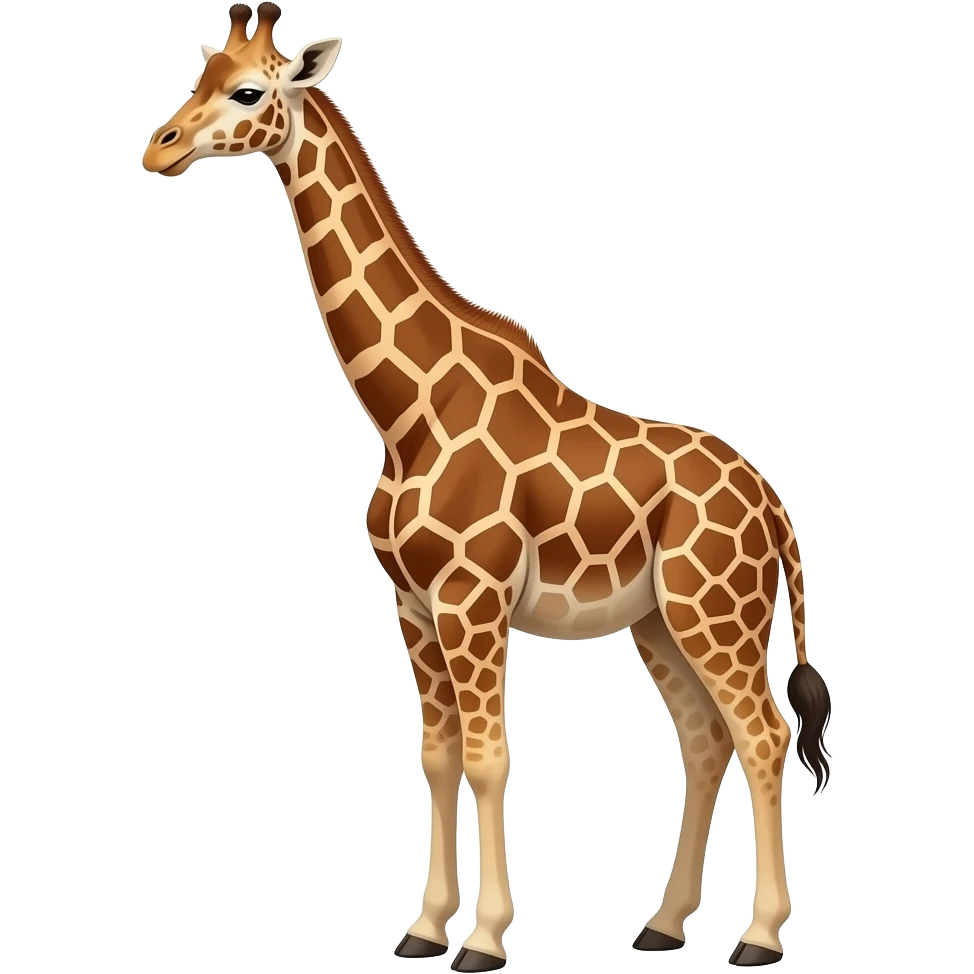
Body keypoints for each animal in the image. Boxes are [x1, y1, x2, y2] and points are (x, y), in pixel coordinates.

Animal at [141, 7, 833, 970]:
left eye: (248, 91)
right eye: (198, 73)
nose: (157, 149)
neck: (407, 412)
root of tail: (774, 508)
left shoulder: (473, 601)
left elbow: (487, 756)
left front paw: (486, 938)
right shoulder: (413, 606)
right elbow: (435, 756)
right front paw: (425, 927)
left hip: (716, 612)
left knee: (763, 735)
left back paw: (760, 937)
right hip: (659, 620)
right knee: (705, 740)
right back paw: (662, 924)